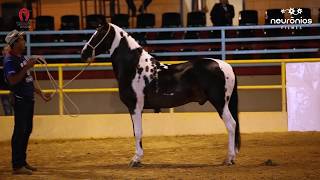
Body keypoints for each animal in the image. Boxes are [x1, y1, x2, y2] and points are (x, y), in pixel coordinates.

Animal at [80, 22, 240, 167]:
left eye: (99, 33)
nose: (83, 53)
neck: (134, 67)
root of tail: (226, 66)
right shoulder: (136, 108)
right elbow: (137, 131)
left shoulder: (134, 106)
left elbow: (137, 132)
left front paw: (136, 159)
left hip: (220, 103)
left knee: (231, 125)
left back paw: (229, 159)